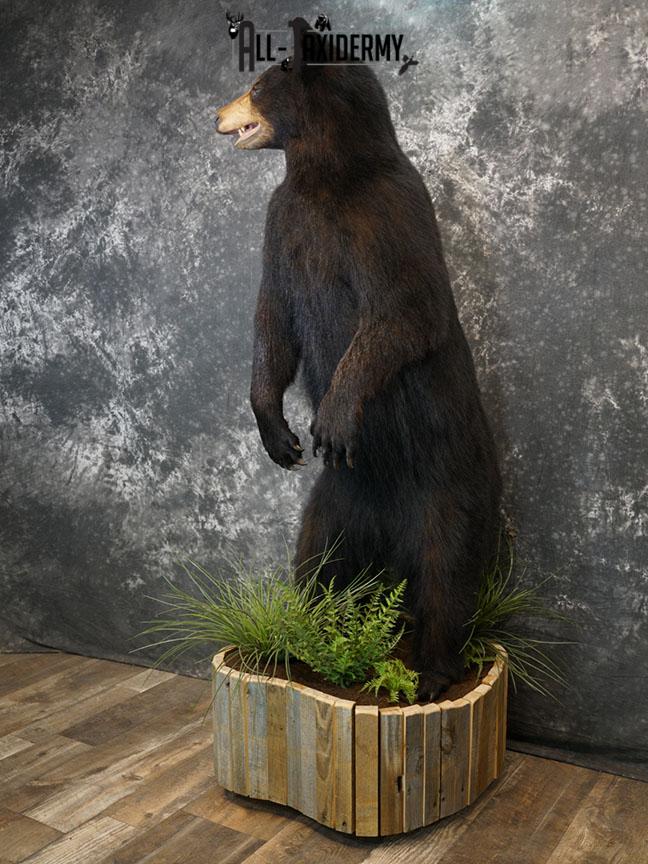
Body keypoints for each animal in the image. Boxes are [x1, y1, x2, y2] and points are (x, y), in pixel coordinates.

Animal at [216, 23, 502, 699]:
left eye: (256, 84)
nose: (215, 114)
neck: (327, 178)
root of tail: (390, 544)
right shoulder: (284, 224)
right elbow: (273, 317)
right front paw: (278, 431)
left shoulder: (389, 217)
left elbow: (403, 313)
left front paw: (334, 416)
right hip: (335, 504)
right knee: (315, 561)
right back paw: (306, 640)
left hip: (451, 490)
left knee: (448, 573)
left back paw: (431, 673)